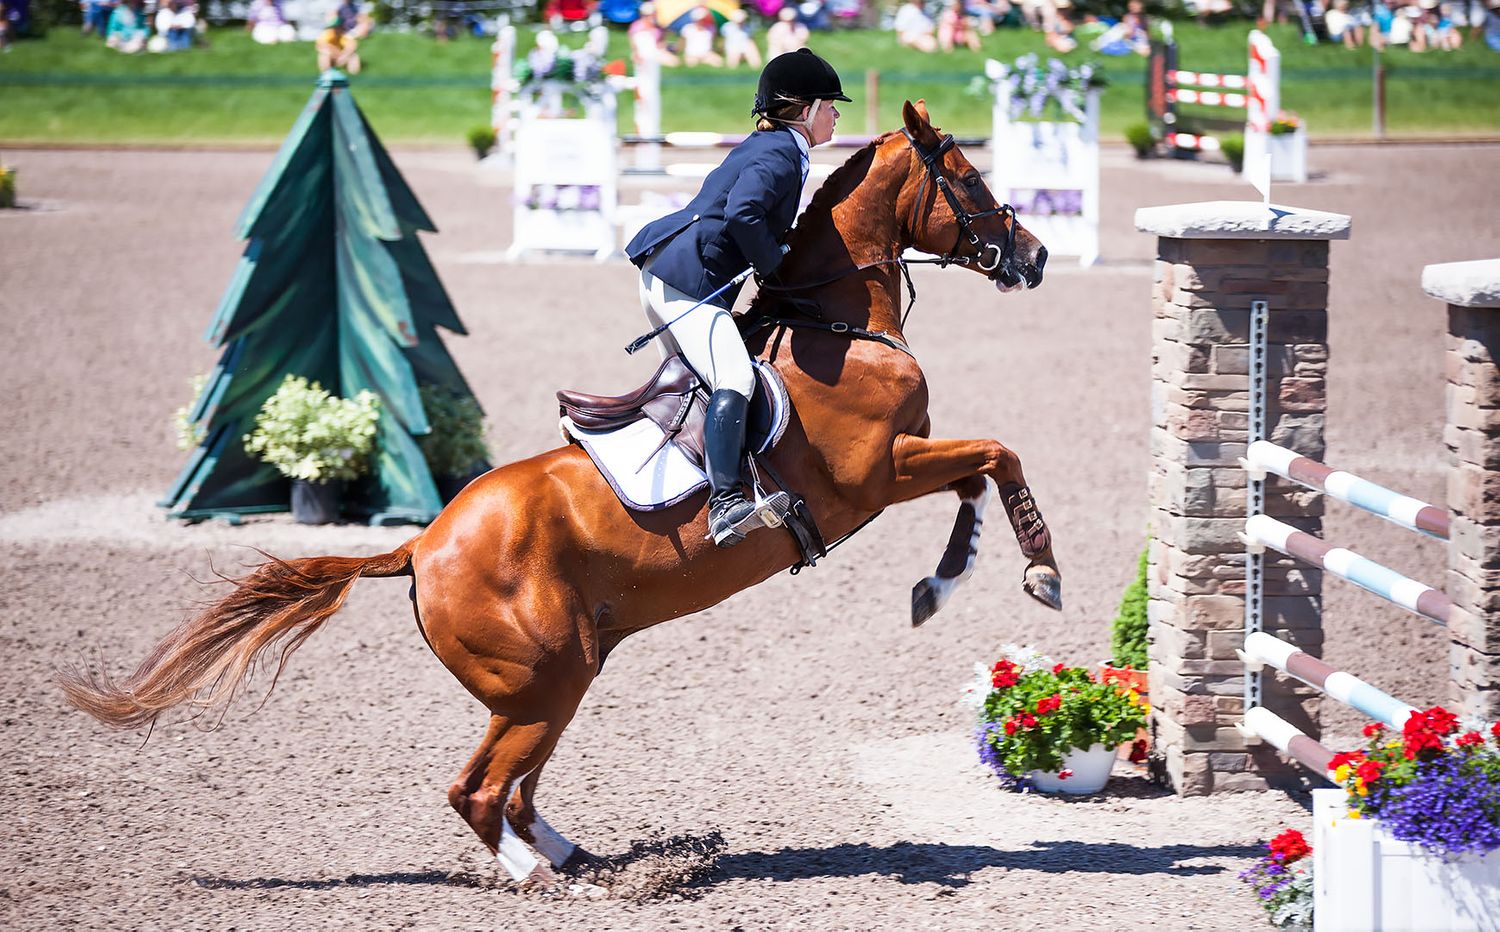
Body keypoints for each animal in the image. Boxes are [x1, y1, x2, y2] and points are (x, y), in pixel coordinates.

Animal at [60, 101, 1056, 885]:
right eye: (968, 177)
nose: (1039, 256)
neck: (837, 323)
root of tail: (420, 545)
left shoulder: (904, 464)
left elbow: (978, 476)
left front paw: (944, 583)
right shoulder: (878, 473)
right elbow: (999, 455)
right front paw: (1032, 574)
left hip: (559, 679)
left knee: (515, 787)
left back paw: (575, 856)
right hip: (542, 682)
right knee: (476, 789)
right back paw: (541, 875)